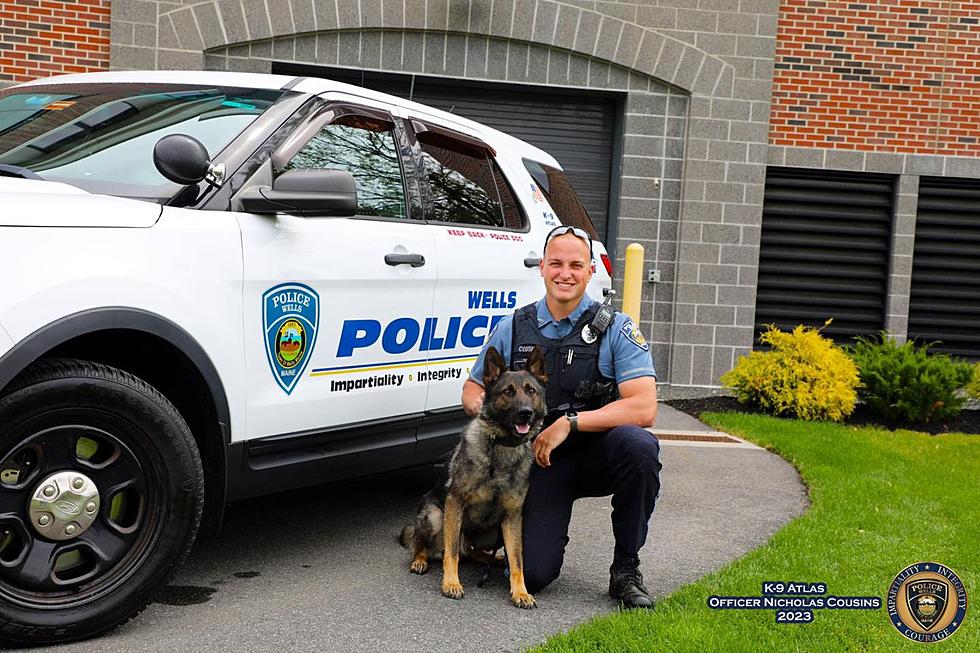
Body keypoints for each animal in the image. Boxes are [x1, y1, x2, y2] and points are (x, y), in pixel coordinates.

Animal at [400, 346, 552, 608]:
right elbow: (450, 553)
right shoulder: (455, 503)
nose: (526, 413)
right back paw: (419, 560)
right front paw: (451, 584)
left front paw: (520, 592)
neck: (502, 447)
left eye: (531, 391)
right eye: (508, 391)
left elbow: (518, 559)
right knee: (426, 545)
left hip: (494, 531)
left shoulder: (512, 516)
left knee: (469, 551)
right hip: (434, 516)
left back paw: (495, 559)